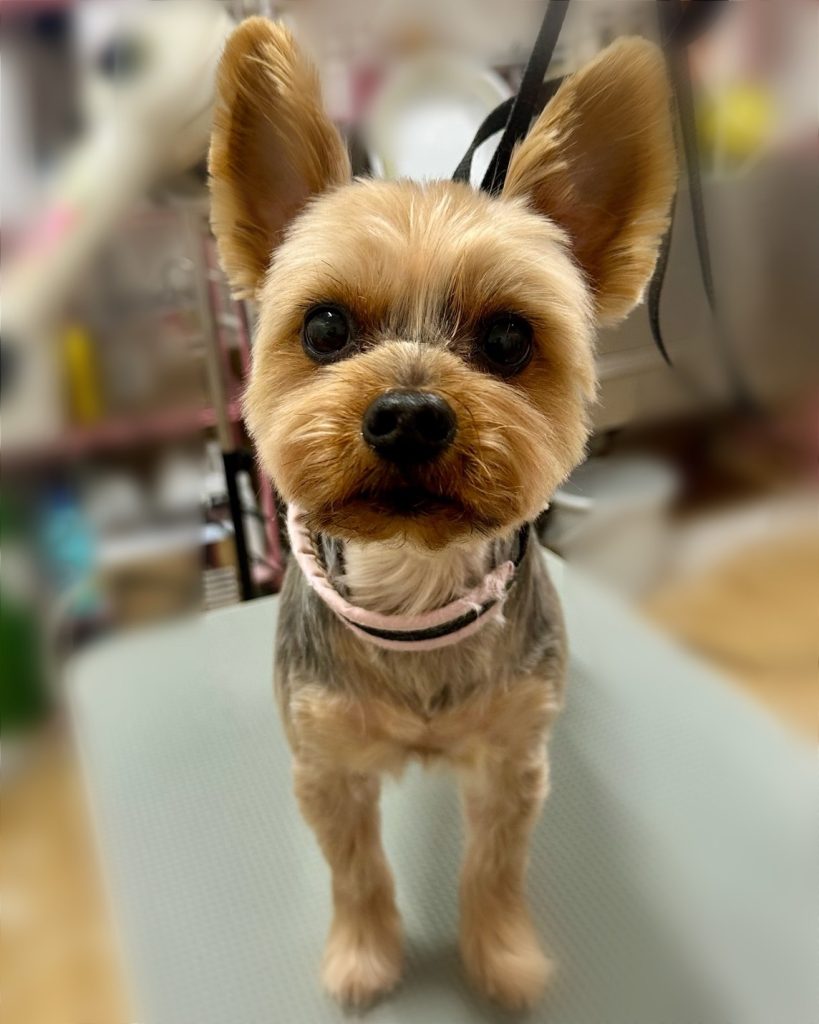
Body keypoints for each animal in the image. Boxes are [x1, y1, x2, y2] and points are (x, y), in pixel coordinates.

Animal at [209, 18, 675, 1009]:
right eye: (324, 328)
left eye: (507, 337)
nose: (410, 414)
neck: (413, 583)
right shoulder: (326, 765)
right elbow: (356, 870)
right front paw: (363, 955)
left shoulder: (510, 763)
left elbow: (493, 867)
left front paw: (500, 956)